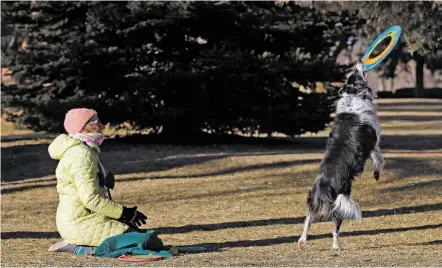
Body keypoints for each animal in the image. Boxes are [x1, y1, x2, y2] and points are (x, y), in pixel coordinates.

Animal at [296, 61, 386, 250]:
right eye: (355, 75)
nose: (360, 62)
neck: (353, 97)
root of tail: (324, 187)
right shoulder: (374, 142)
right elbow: (380, 159)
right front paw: (377, 173)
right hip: (341, 202)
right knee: (334, 229)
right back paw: (336, 246)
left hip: (314, 200)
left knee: (308, 219)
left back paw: (302, 240)